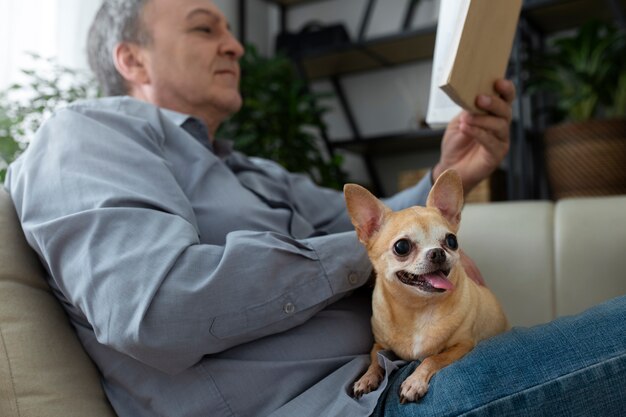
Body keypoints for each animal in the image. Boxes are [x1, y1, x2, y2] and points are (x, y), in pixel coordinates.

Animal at [342, 169, 508, 404]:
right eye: (401, 246)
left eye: (452, 241)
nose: (438, 252)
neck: (418, 309)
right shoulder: (379, 345)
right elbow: (375, 359)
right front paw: (367, 378)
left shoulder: (462, 345)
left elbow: (432, 359)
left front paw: (414, 382)